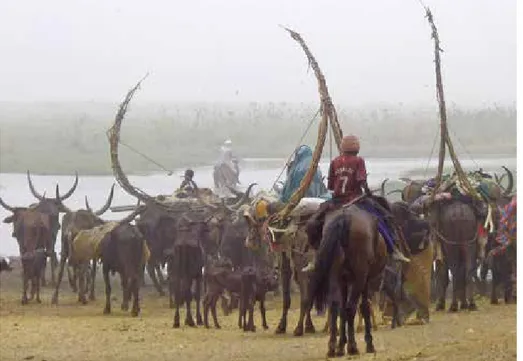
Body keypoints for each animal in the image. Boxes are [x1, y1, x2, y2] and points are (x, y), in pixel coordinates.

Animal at [308, 204, 388, 356]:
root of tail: (345, 218)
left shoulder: (343, 281)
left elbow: (342, 309)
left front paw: (341, 344)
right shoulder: (364, 280)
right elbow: (364, 307)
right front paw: (369, 343)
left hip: (335, 275)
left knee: (334, 305)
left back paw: (333, 347)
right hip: (359, 276)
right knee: (351, 307)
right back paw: (352, 347)